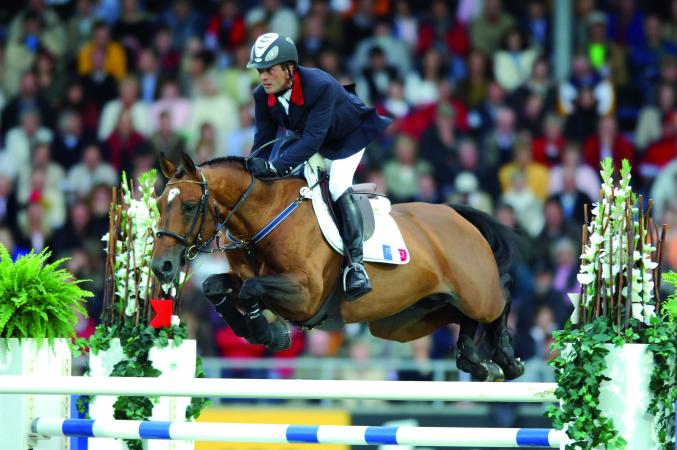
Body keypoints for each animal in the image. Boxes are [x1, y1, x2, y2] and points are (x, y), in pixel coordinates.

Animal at [151, 152, 525, 382]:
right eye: (158, 205)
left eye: (188, 206)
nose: (161, 267)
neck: (266, 215)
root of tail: (457, 214)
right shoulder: (250, 279)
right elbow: (215, 286)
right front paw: (258, 331)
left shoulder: (306, 295)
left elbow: (251, 290)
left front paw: (269, 333)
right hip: (410, 318)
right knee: (463, 317)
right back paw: (475, 360)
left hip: (475, 291)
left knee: (501, 299)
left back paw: (507, 357)